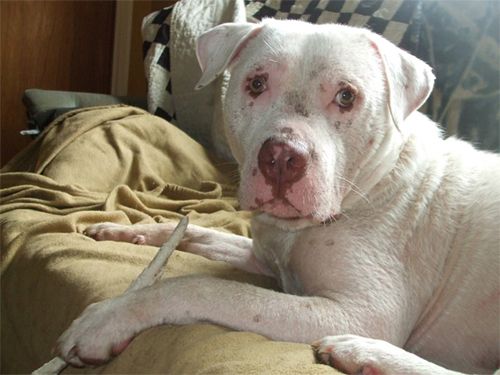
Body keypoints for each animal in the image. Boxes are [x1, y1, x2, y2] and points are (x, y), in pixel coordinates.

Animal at [56, 21, 498, 375]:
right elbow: (196, 232)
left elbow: (209, 289)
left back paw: (362, 354)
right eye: (256, 83)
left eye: (346, 96)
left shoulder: (363, 311)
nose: (282, 157)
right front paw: (124, 230)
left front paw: (108, 318)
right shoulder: (263, 257)